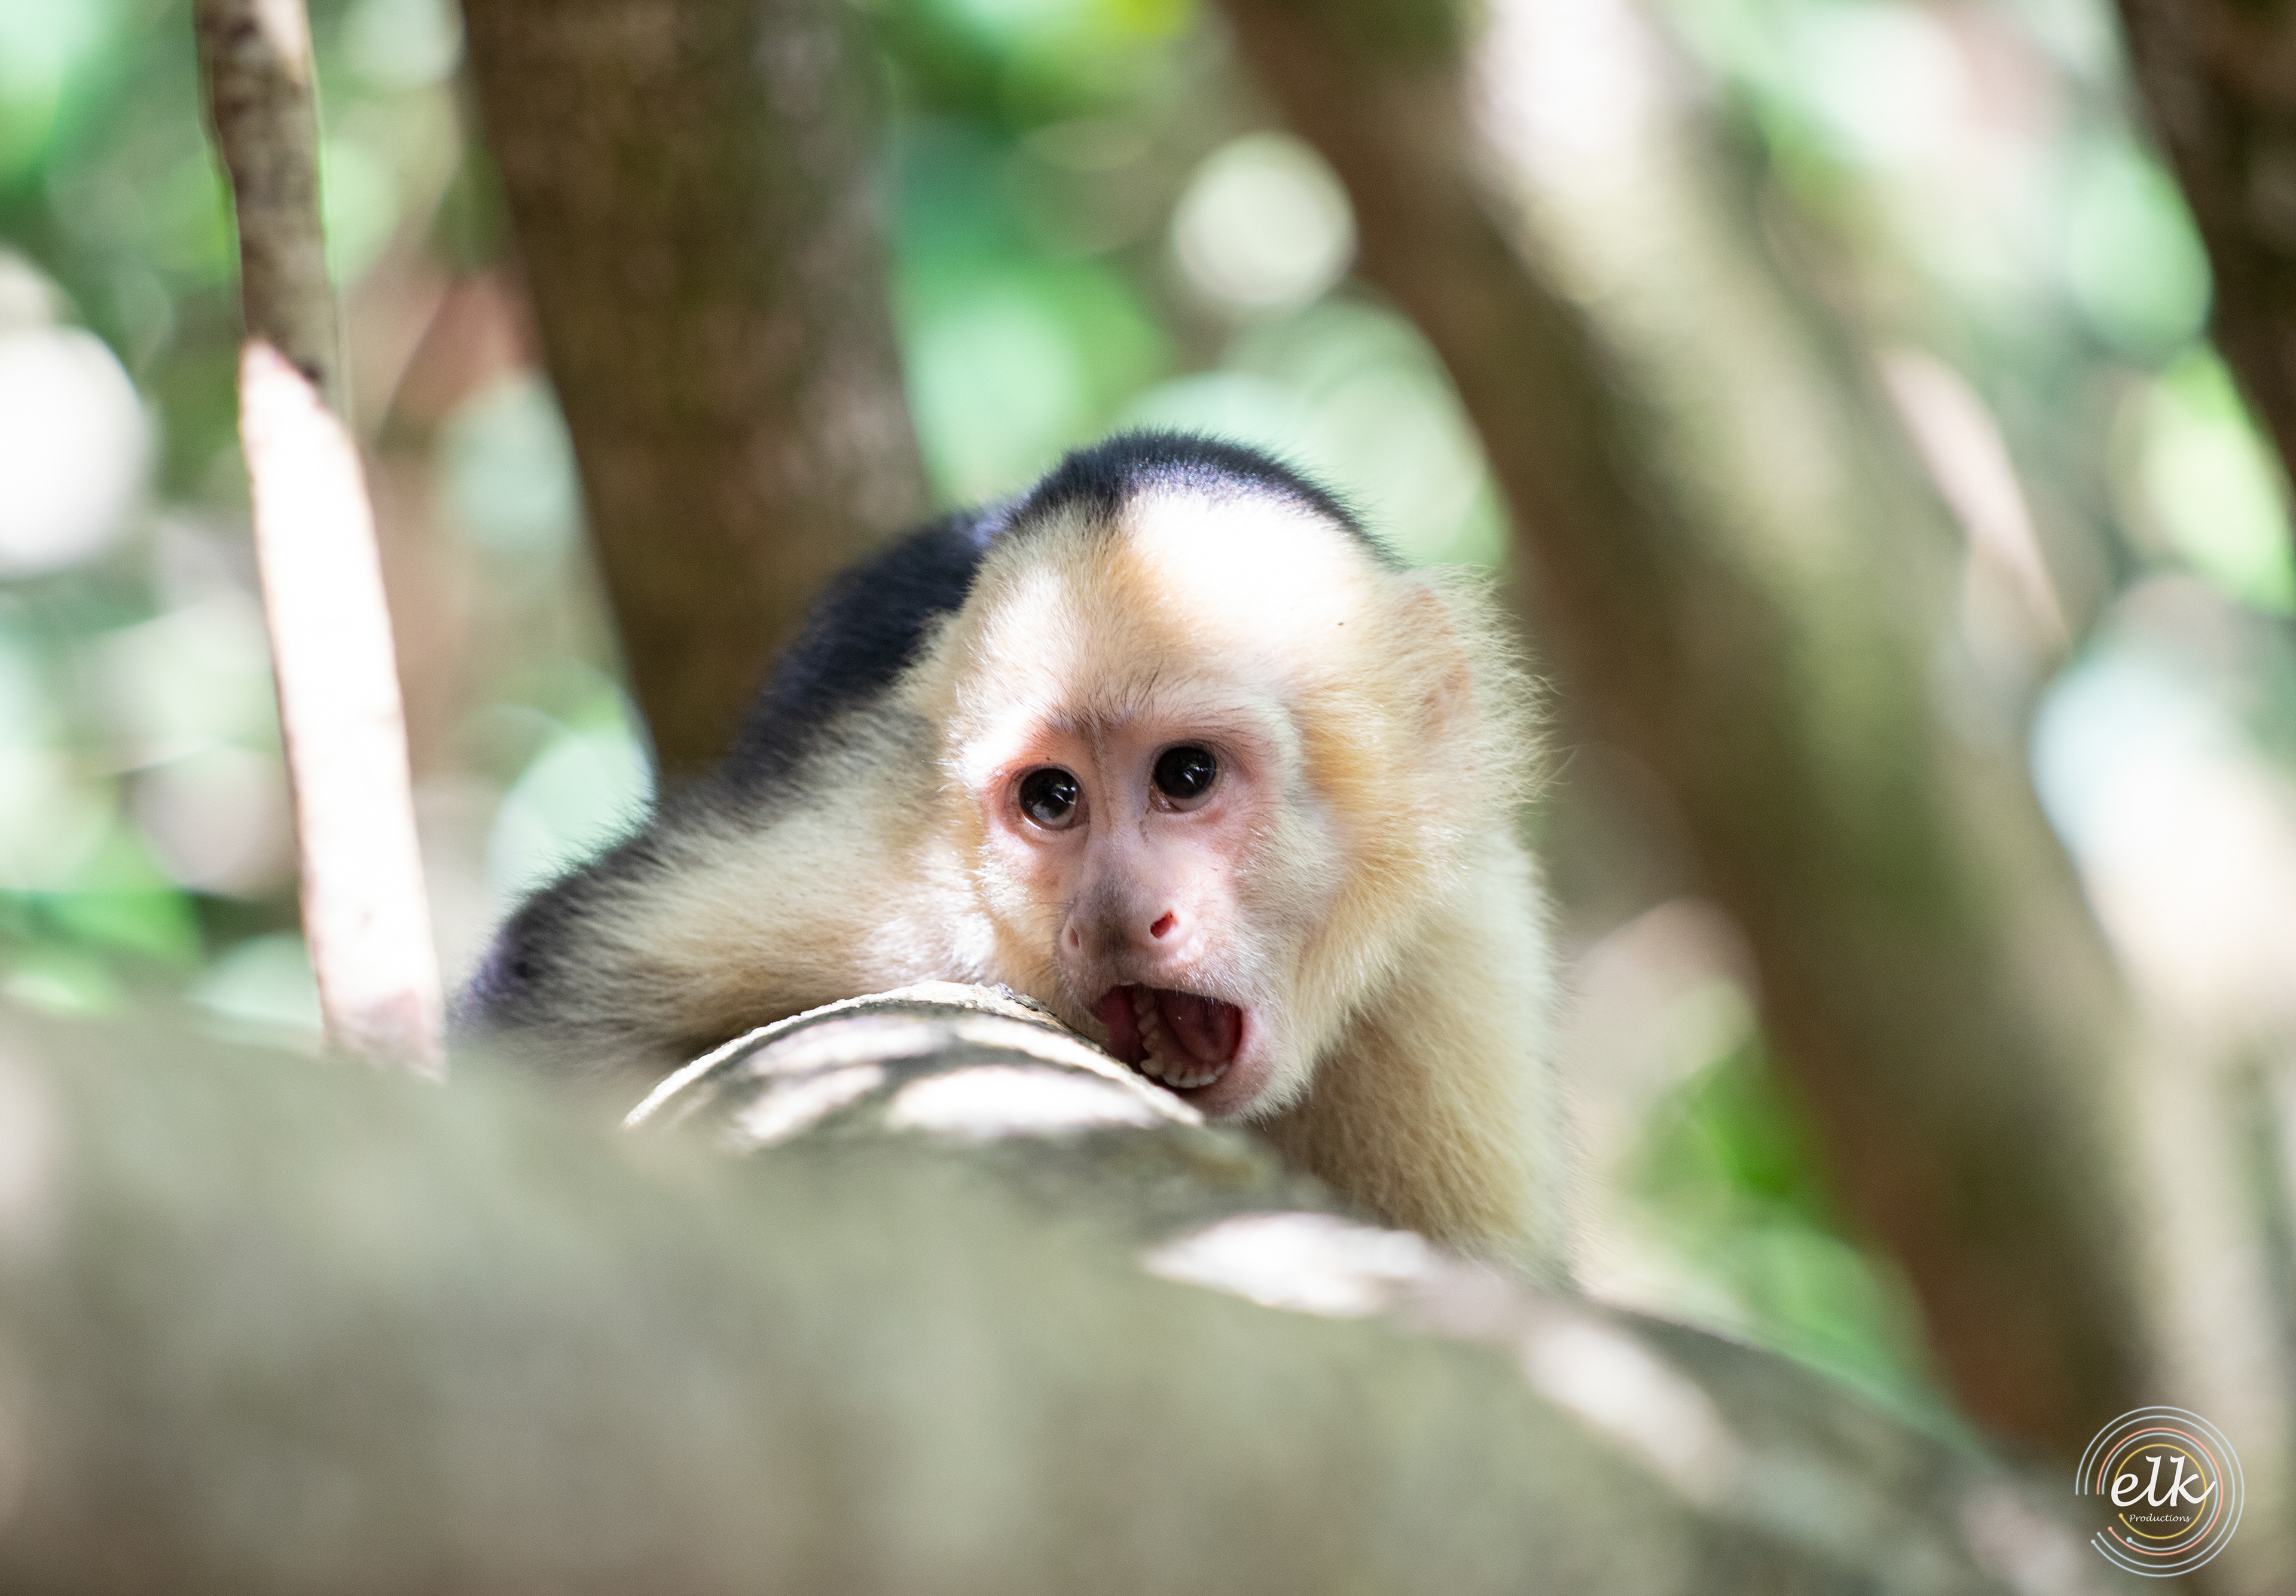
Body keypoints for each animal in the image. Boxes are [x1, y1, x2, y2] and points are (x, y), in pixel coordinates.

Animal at [461, 432, 1564, 1261]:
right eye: (1052, 796)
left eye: (1187, 776)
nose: (1116, 914)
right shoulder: (882, 856)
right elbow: (556, 984)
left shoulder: (1449, 963)